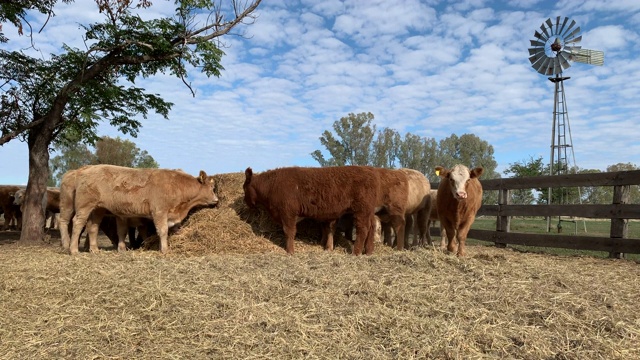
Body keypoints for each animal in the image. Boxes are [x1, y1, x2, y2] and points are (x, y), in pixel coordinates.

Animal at [60, 165, 220, 255]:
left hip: (98, 209)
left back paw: (94, 249)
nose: (217, 200)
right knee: (75, 223)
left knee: (92, 227)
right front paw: (164, 250)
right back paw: (72, 249)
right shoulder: (159, 212)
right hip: (83, 206)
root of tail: (85, 170)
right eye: (212, 187)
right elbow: (162, 231)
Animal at [242, 167, 408, 256]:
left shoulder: (288, 213)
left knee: (363, 228)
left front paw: (290, 251)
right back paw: (368, 251)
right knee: (371, 227)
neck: (272, 185)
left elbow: (289, 232)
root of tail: (370, 170)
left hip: (362, 209)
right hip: (367, 211)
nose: (245, 203)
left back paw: (356, 252)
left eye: (244, 188)